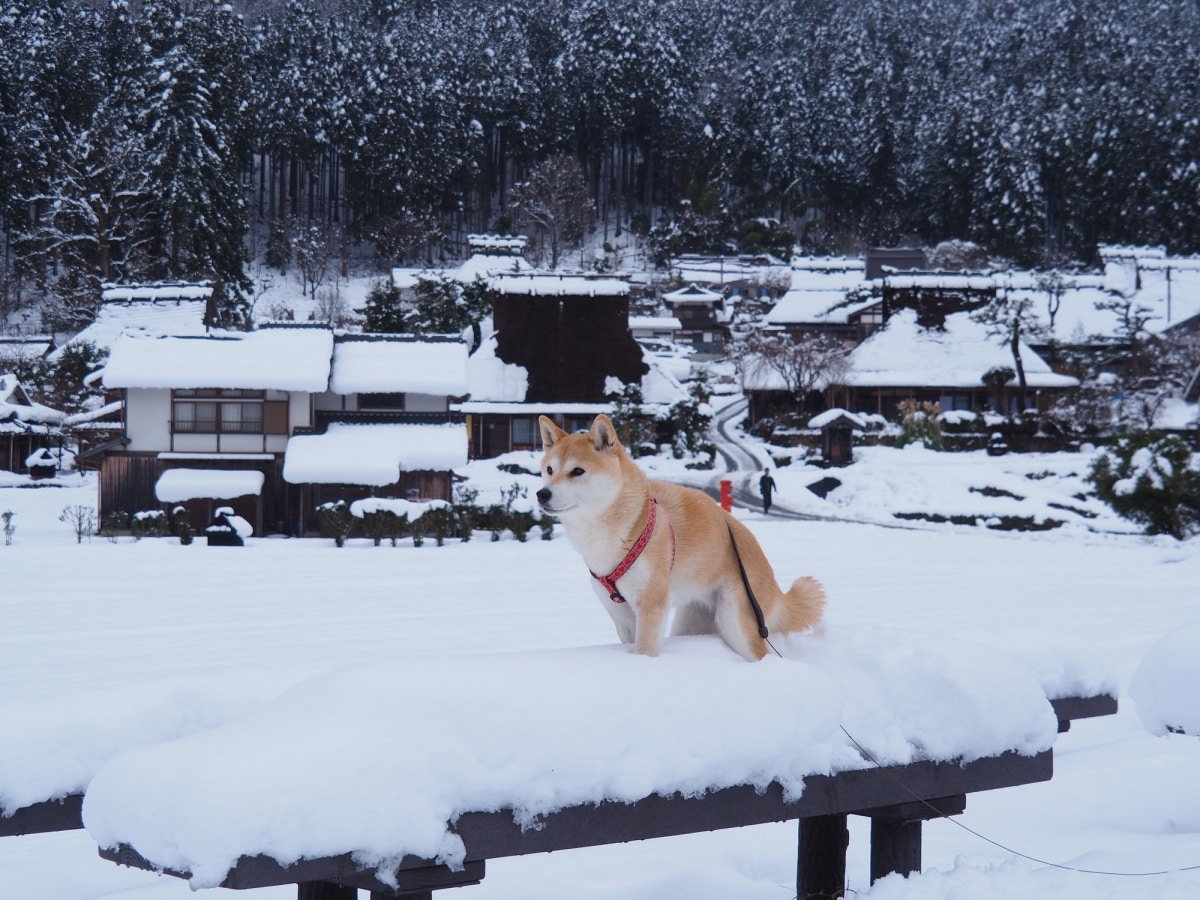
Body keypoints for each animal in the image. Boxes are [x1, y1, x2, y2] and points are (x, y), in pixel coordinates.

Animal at [537, 415, 825, 662]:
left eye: (577, 471)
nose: (542, 494)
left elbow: (644, 651)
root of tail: (771, 578)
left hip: (738, 624)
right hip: (691, 621)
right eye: (549, 470)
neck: (630, 524)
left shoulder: (651, 606)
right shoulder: (622, 616)